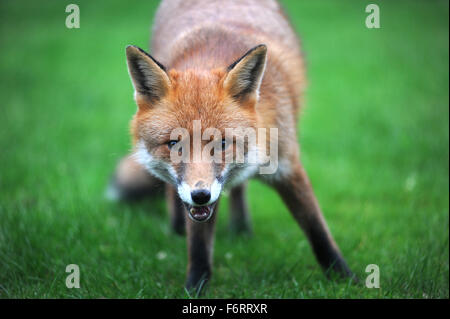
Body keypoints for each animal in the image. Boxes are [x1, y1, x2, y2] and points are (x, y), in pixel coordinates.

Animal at [110, 0, 356, 294]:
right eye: (173, 143)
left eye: (223, 143)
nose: (200, 195)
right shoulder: (198, 205)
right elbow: (199, 247)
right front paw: (195, 288)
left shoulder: (288, 165)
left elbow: (316, 228)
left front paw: (345, 278)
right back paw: (178, 229)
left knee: (239, 190)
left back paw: (241, 229)